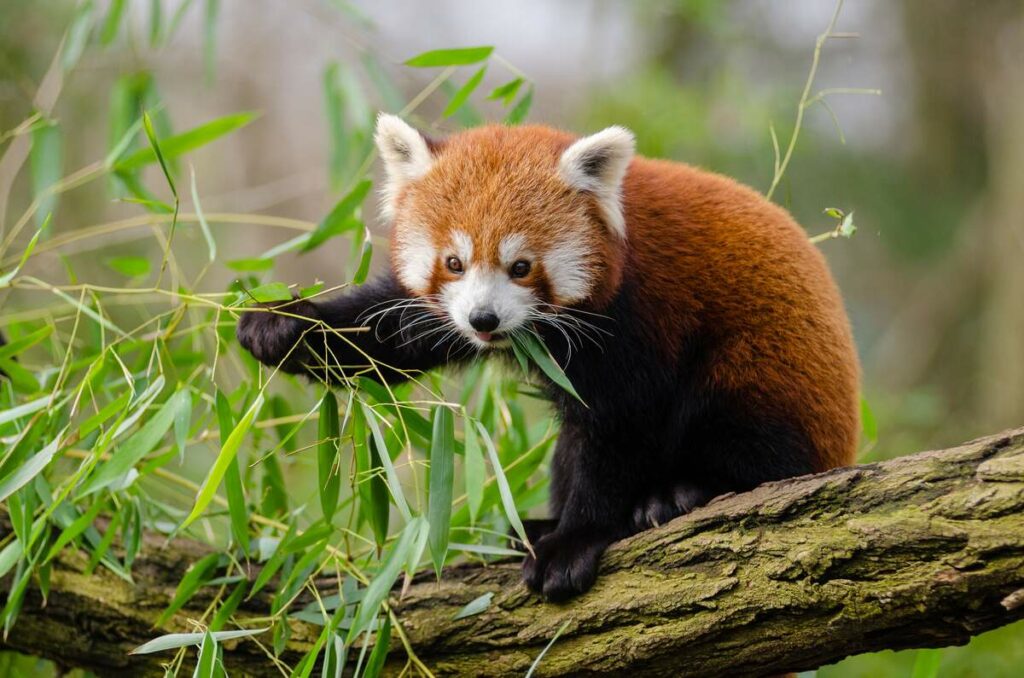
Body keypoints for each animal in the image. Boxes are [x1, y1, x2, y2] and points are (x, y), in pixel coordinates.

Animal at [235, 114, 860, 602]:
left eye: (521, 267)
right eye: (454, 263)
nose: (484, 321)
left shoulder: (638, 322)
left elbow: (617, 430)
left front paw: (576, 540)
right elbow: (388, 334)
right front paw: (281, 325)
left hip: (767, 372)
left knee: (748, 432)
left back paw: (682, 493)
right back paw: (533, 524)